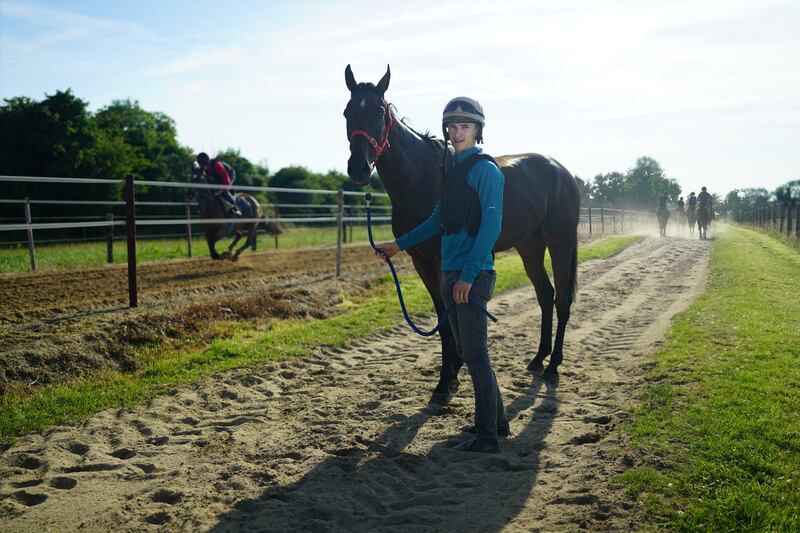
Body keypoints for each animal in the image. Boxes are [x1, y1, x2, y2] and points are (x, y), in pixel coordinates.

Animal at [344, 65, 580, 398]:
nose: (359, 168)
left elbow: (449, 314)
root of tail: (562, 171)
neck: (424, 179)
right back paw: (537, 359)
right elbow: (442, 318)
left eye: (379, 111)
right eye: (347, 112)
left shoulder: (443, 261)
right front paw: (451, 374)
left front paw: (447, 379)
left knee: (562, 299)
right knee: (545, 294)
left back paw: (553, 365)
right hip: (530, 247)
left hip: (560, 242)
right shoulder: (422, 262)